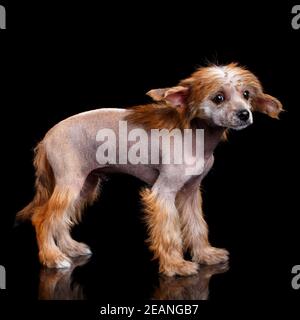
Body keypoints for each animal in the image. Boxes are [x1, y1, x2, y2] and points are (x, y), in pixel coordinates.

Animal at [16, 63, 284, 278]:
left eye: (246, 95)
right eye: (218, 97)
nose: (244, 114)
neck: (196, 137)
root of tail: (46, 138)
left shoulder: (190, 193)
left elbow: (197, 225)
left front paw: (205, 254)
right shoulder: (163, 194)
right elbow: (169, 232)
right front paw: (176, 265)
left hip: (85, 185)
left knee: (61, 219)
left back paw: (69, 247)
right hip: (70, 183)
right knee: (42, 218)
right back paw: (52, 257)